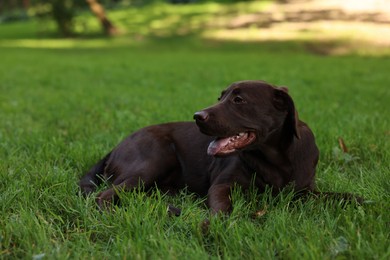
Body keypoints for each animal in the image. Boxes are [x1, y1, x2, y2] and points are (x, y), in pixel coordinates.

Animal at [80, 80, 362, 212]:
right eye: (221, 97)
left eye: (238, 100)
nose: (197, 116)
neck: (277, 157)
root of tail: (115, 147)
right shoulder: (223, 185)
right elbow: (222, 206)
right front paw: (216, 224)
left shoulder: (305, 190)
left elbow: (344, 196)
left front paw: (360, 201)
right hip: (153, 160)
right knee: (104, 195)